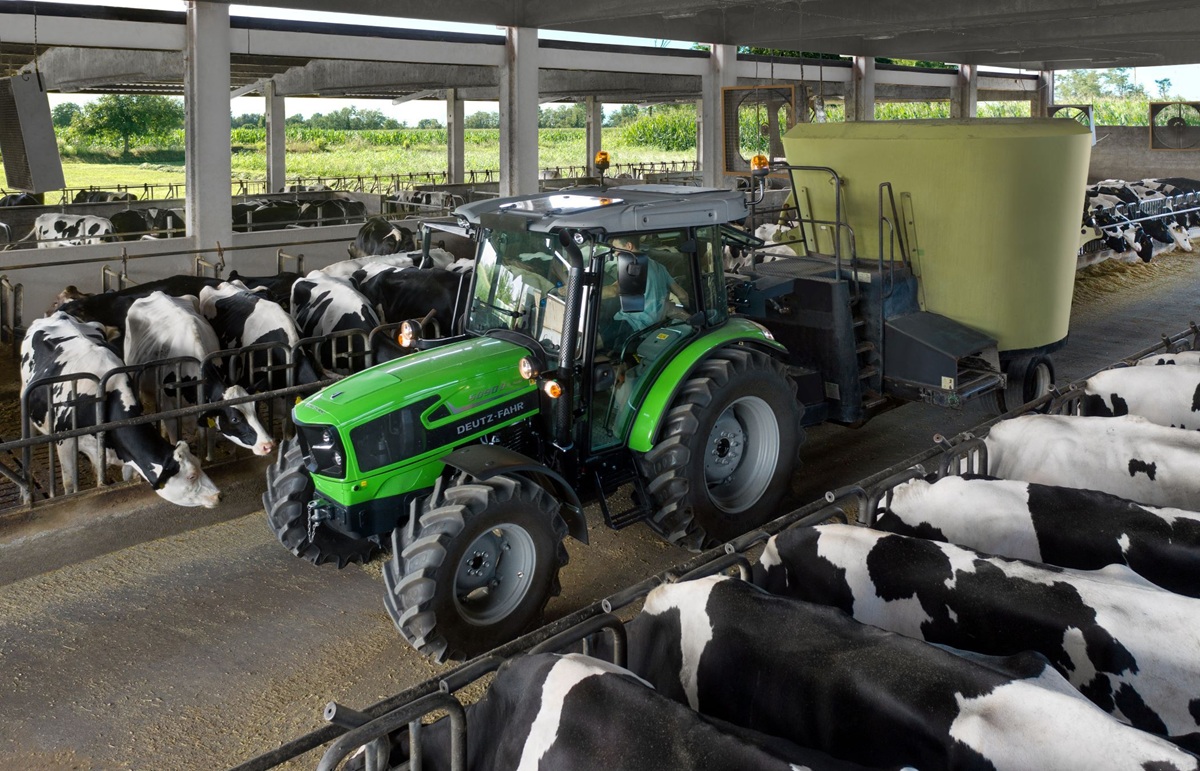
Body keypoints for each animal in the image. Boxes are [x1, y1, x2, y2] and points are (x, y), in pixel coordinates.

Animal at [20, 312, 221, 507]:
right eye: (191, 476)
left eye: (199, 463)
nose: (218, 495)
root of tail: (59, 315)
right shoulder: (65, 443)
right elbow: (70, 486)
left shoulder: (126, 458)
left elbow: (126, 478)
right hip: (26, 397)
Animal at [123, 293, 275, 456]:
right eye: (235, 419)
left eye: (256, 408)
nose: (267, 445)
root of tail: (157, 293)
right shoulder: (169, 411)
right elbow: (174, 438)